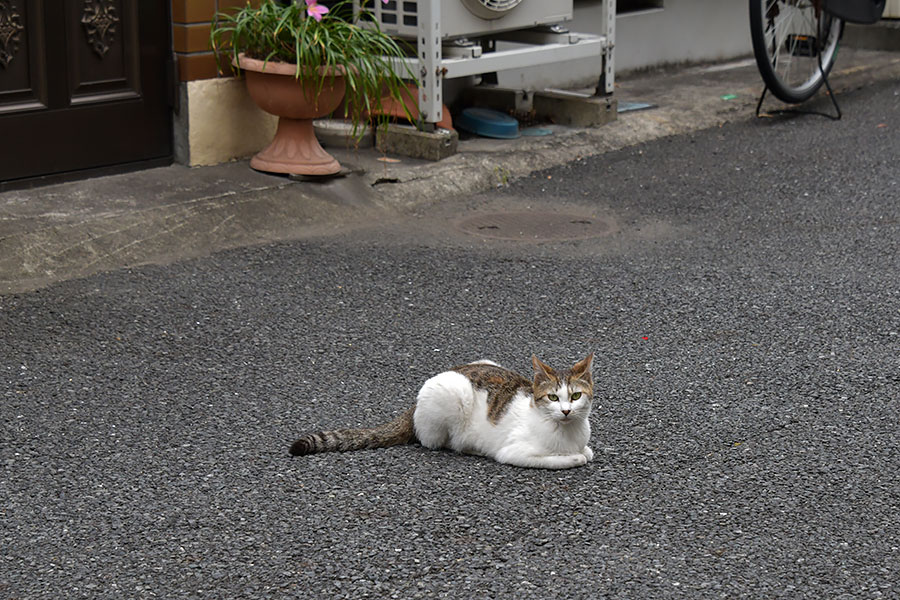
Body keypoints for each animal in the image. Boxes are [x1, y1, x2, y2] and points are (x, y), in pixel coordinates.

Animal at [292, 354, 596, 472]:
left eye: (576, 396)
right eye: (553, 397)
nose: (566, 411)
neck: (569, 433)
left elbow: (588, 450)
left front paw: (583, 451)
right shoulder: (514, 452)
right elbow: (566, 458)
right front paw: (574, 457)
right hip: (452, 391)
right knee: (434, 441)